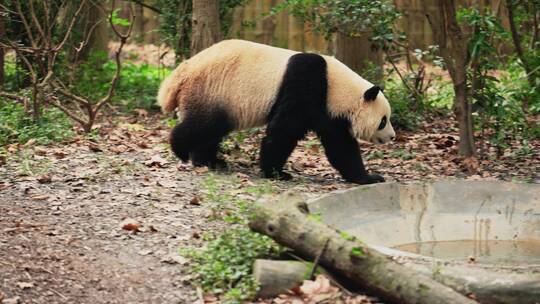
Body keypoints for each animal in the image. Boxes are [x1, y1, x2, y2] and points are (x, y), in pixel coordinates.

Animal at [158, 39, 394, 184]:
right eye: (383, 120)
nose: (392, 137)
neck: (336, 86)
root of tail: (183, 71)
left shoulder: (328, 111)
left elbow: (340, 144)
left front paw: (368, 177)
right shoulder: (306, 83)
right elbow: (284, 130)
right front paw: (276, 173)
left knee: (211, 131)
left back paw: (209, 161)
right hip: (213, 90)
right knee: (205, 125)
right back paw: (181, 149)